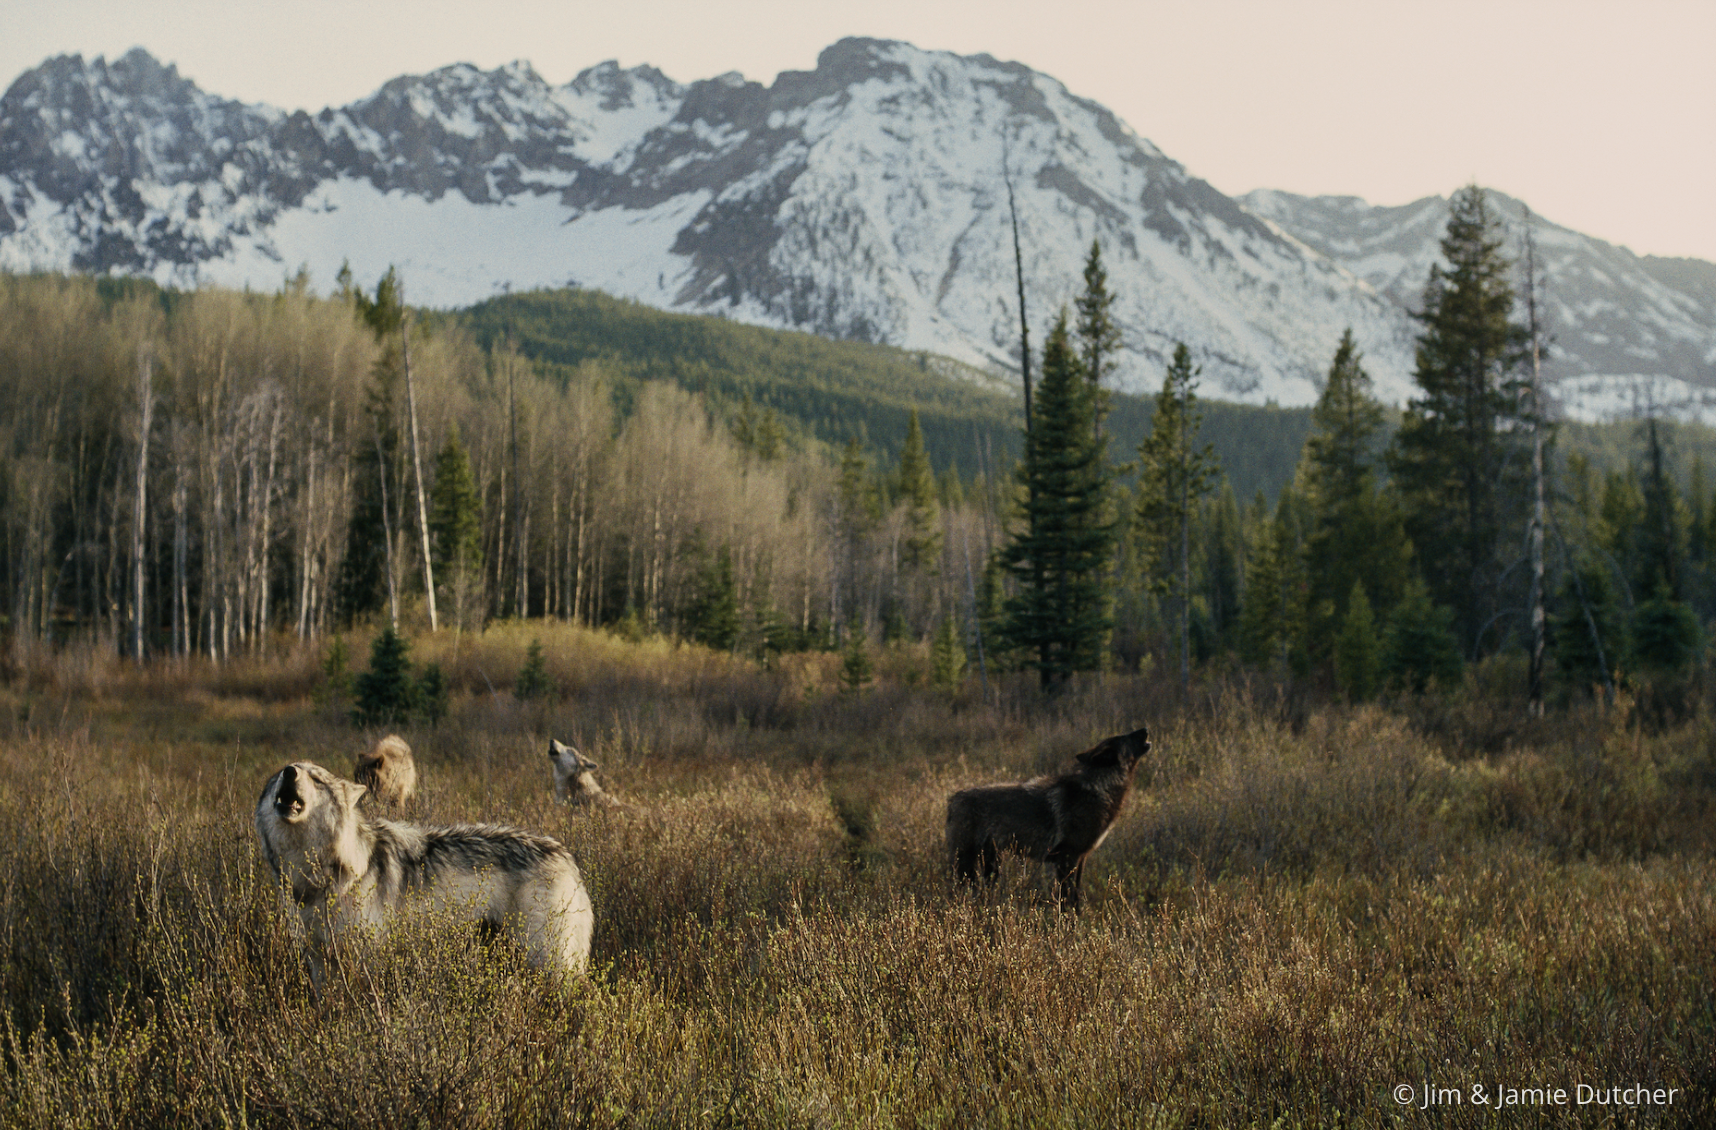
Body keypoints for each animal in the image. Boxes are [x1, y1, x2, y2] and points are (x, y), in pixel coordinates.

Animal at [255, 761, 594, 986]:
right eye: (282, 772)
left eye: (316, 778)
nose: (290, 771)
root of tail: (565, 856)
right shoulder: (319, 960)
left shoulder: (367, 958)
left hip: (546, 959)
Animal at [946, 726, 1151, 910]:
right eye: (1125, 737)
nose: (1145, 729)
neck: (1098, 790)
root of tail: (953, 799)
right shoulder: (1067, 859)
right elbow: (1068, 901)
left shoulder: (1080, 859)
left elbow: (1075, 900)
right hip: (966, 865)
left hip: (990, 865)